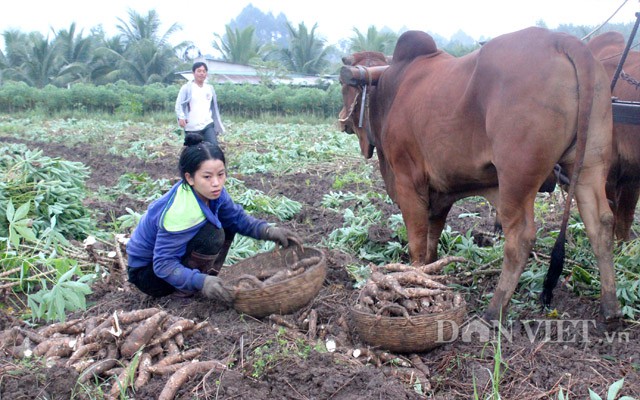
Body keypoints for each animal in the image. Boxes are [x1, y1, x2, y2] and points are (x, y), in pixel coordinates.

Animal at [340, 28, 620, 324]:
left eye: (345, 87)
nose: (342, 119)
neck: (391, 88)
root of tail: (562, 40)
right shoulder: (440, 192)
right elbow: (432, 239)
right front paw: (430, 271)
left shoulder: (408, 181)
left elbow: (416, 242)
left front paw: (414, 274)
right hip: (589, 165)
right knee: (600, 224)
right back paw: (610, 307)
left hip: (515, 179)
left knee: (520, 237)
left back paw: (494, 309)